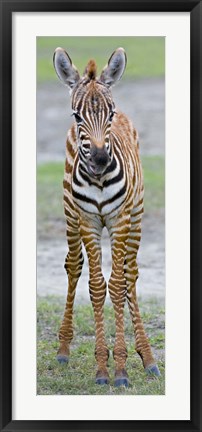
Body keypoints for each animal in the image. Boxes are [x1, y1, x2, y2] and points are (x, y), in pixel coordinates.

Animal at [52, 48, 160, 388]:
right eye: (76, 116)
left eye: (109, 115)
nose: (100, 159)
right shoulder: (87, 221)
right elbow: (98, 286)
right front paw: (103, 367)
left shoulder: (120, 220)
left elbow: (118, 284)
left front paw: (122, 367)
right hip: (70, 215)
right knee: (74, 266)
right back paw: (63, 349)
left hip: (136, 216)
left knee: (131, 275)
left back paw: (148, 357)